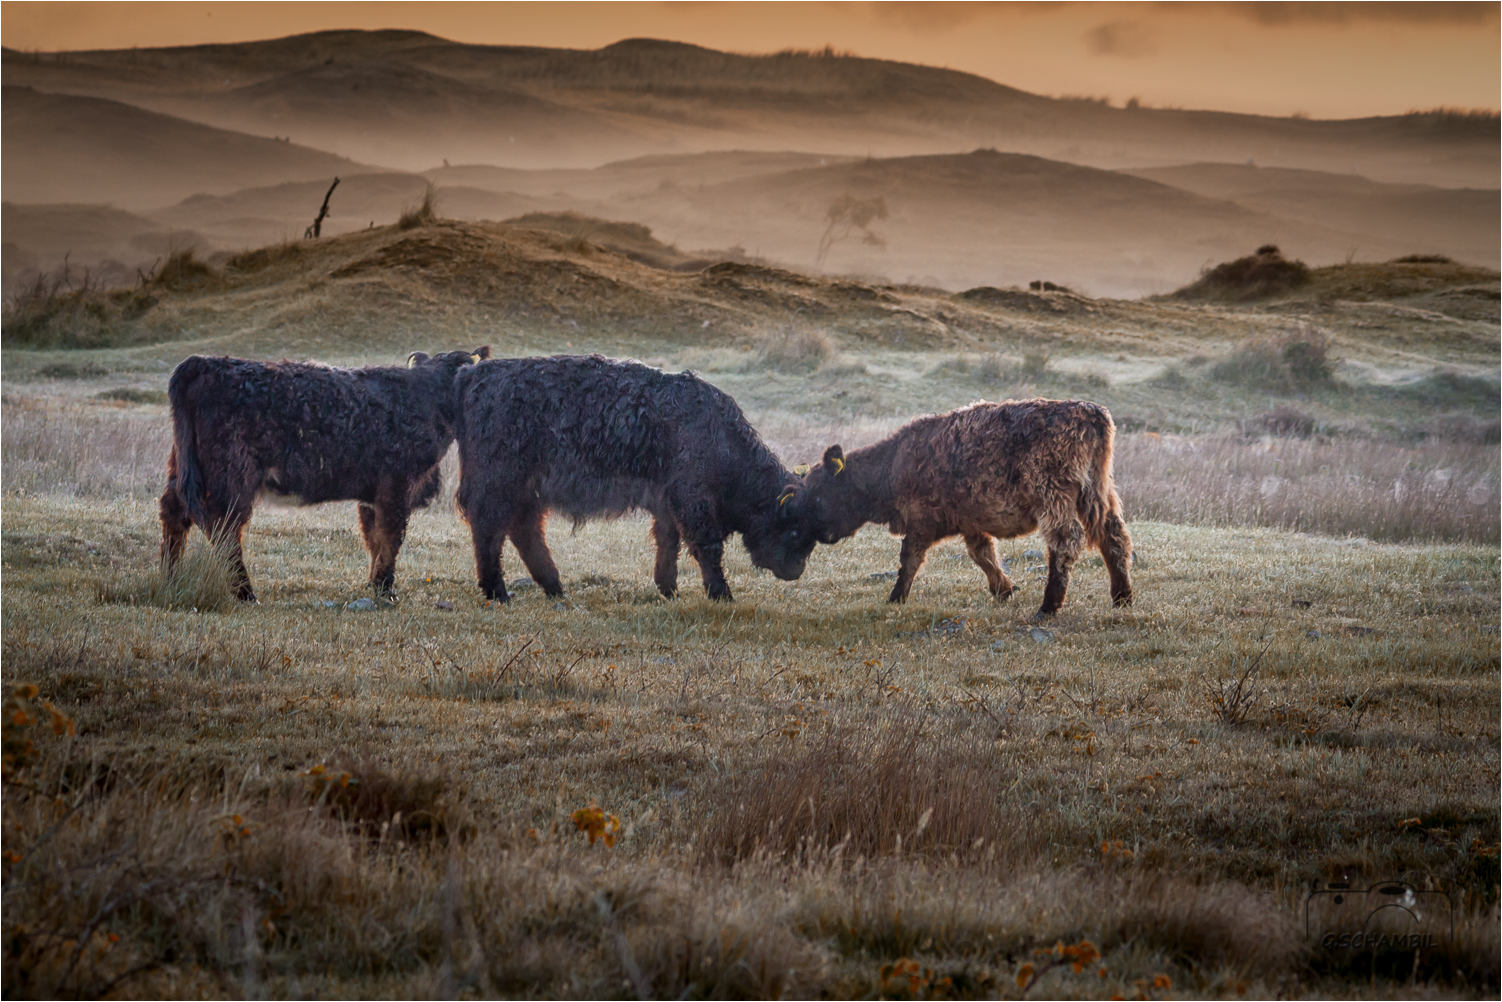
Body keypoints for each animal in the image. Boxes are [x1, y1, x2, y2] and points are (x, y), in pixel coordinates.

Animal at [159, 348, 489, 600]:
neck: (426, 399)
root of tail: (206, 362)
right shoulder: (396, 486)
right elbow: (390, 537)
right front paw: (385, 589)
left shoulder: (372, 495)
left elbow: (373, 537)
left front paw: (373, 584)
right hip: (231, 476)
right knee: (224, 529)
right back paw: (244, 592)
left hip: (184, 466)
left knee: (174, 513)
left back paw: (170, 578)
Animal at [450, 354, 817, 603]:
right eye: (793, 529)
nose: (796, 570)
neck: (720, 437)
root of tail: (475, 374)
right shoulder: (692, 499)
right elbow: (706, 546)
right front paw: (721, 593)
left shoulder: (666, 502)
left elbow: (668, 542)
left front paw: (668, 588)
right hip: (498, 482)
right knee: (489, 531)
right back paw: (498, 591)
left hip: (527, 490)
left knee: (523, 531)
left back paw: (554, 587)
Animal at [793, 396, 1129, 618]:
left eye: (820, 493)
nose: (818, 534)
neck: (893, 463)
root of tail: (1089, 411)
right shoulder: (971, 524)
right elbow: (984, 556)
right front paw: (1003, 589)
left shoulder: (920, 522)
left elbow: (909, 559)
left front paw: (896, 597)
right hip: (1096, 493)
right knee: (1114, 537)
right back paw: (1122, 597)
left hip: (1053, 497)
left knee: (1066, 543)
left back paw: (1048, 607)